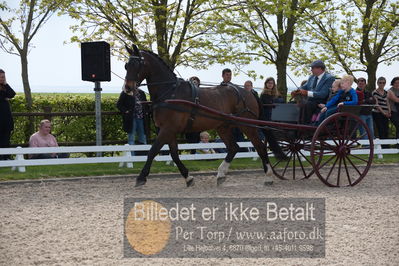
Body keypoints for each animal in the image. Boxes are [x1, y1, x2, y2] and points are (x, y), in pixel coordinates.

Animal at [125, 45, 284, 187]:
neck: (170, 92)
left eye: (137, 64)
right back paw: (221, 175)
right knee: (234, 148)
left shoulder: (168, 129)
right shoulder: (169, 131)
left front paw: (141, 177)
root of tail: (247, 92)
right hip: (223, 126)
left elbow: (152, 151)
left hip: (247, 126)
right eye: (127, 65)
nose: (127, 88)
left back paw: (268, 177)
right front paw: (188, 178)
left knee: (260, 147)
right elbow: (174, 155)